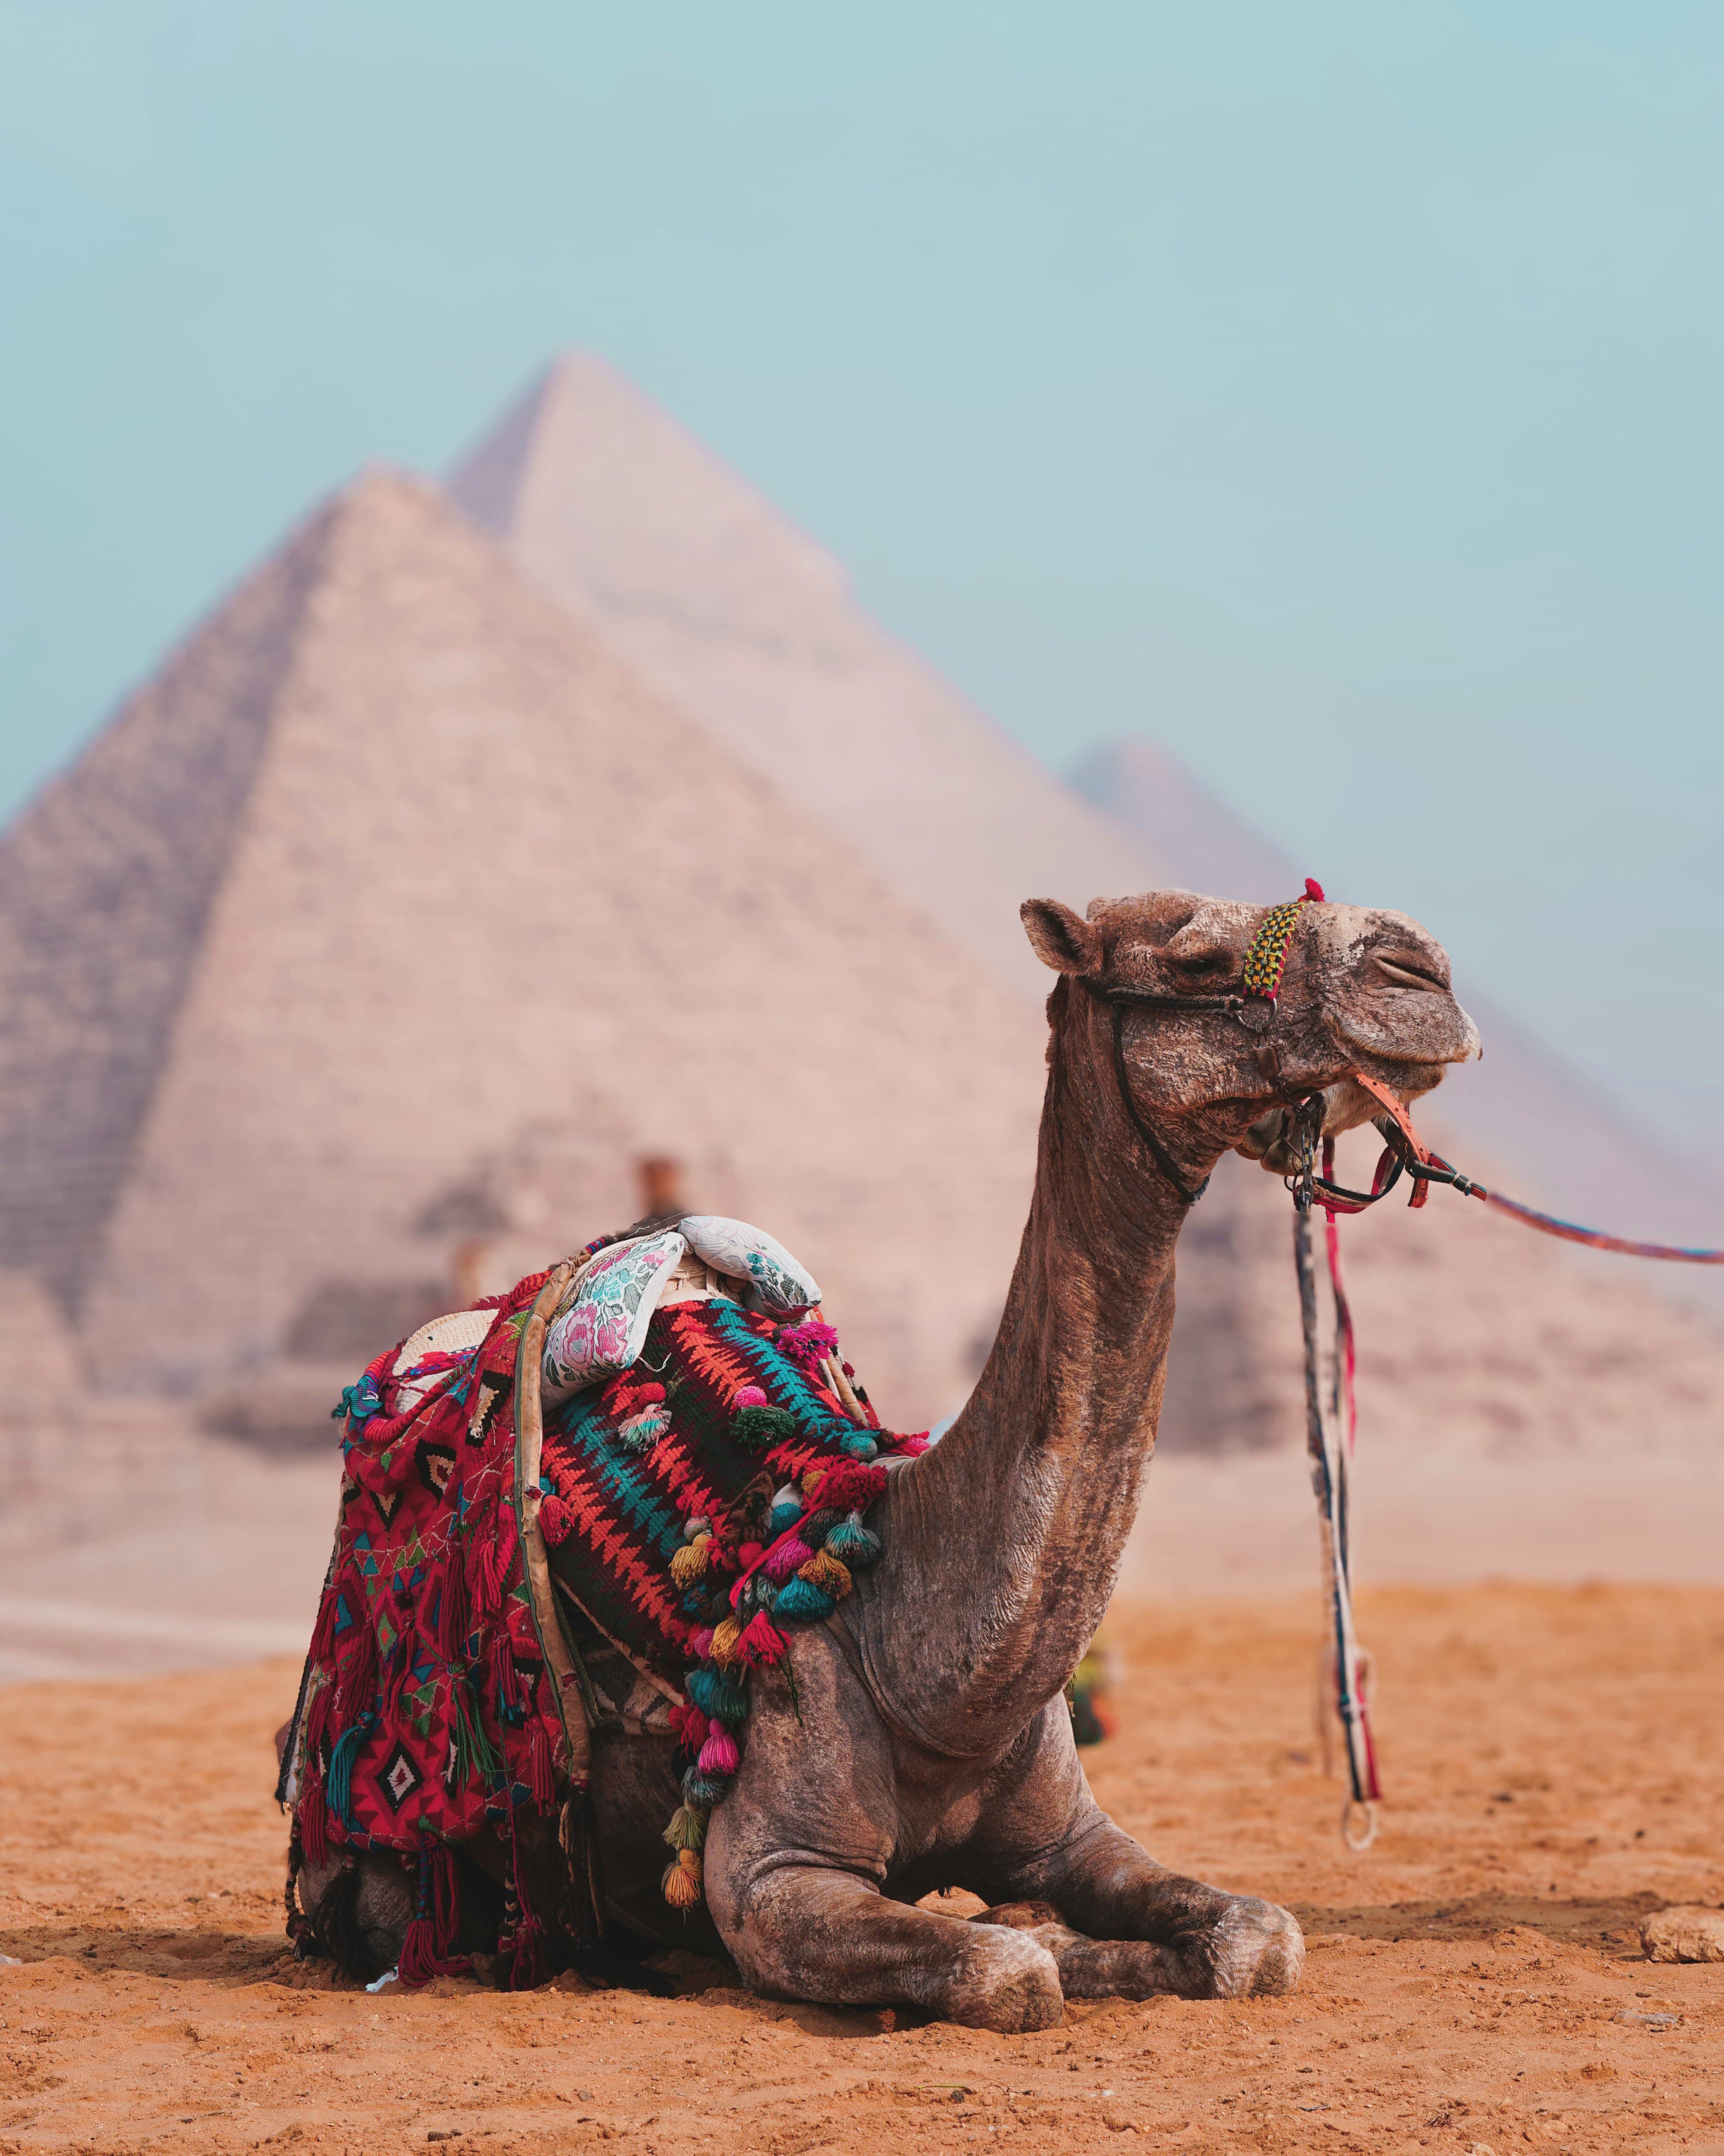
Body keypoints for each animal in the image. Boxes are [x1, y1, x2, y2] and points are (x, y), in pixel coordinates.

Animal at [296, 887, 1478, 2029]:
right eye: (1196, 957)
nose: (1420, 970)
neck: (915, 1648)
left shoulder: (1074, 1835)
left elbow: (1259, 1938)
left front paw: (1082, 1929)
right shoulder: (775, 1878)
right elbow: (1007, 1970)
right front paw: (1040, 1941)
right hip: (379, 1867)